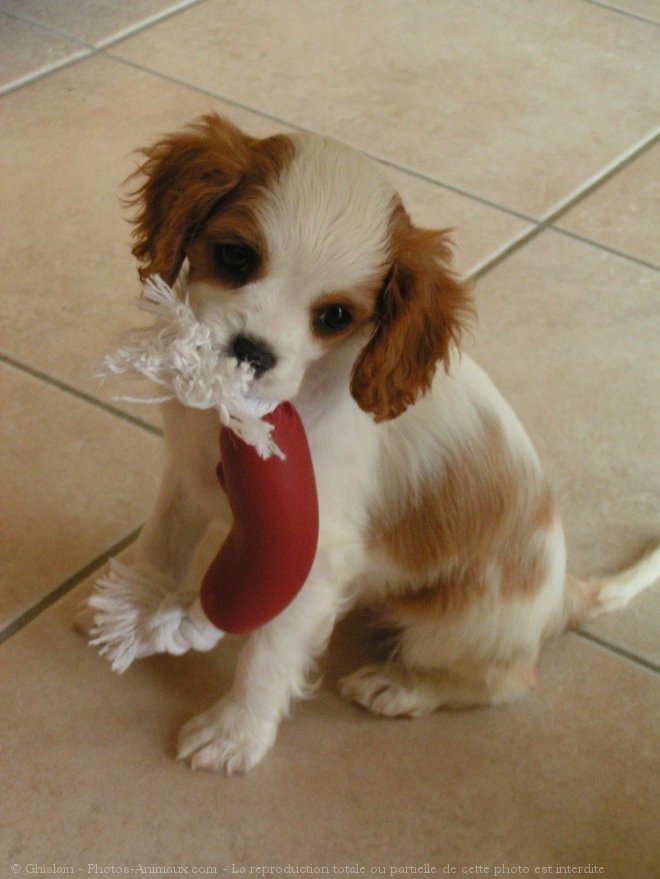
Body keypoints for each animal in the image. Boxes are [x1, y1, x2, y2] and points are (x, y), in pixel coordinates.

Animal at [100, 111, 656, 776]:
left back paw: (401, 686)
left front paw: (235, 733)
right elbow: (160, 546)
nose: (252, 352)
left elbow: (269, 651)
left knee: (503, 680)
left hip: (459, 624)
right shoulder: (184, 477)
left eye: (335, 317)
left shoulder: (312, 551)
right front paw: (129, 609)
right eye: (235, 256)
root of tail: (560, 595)